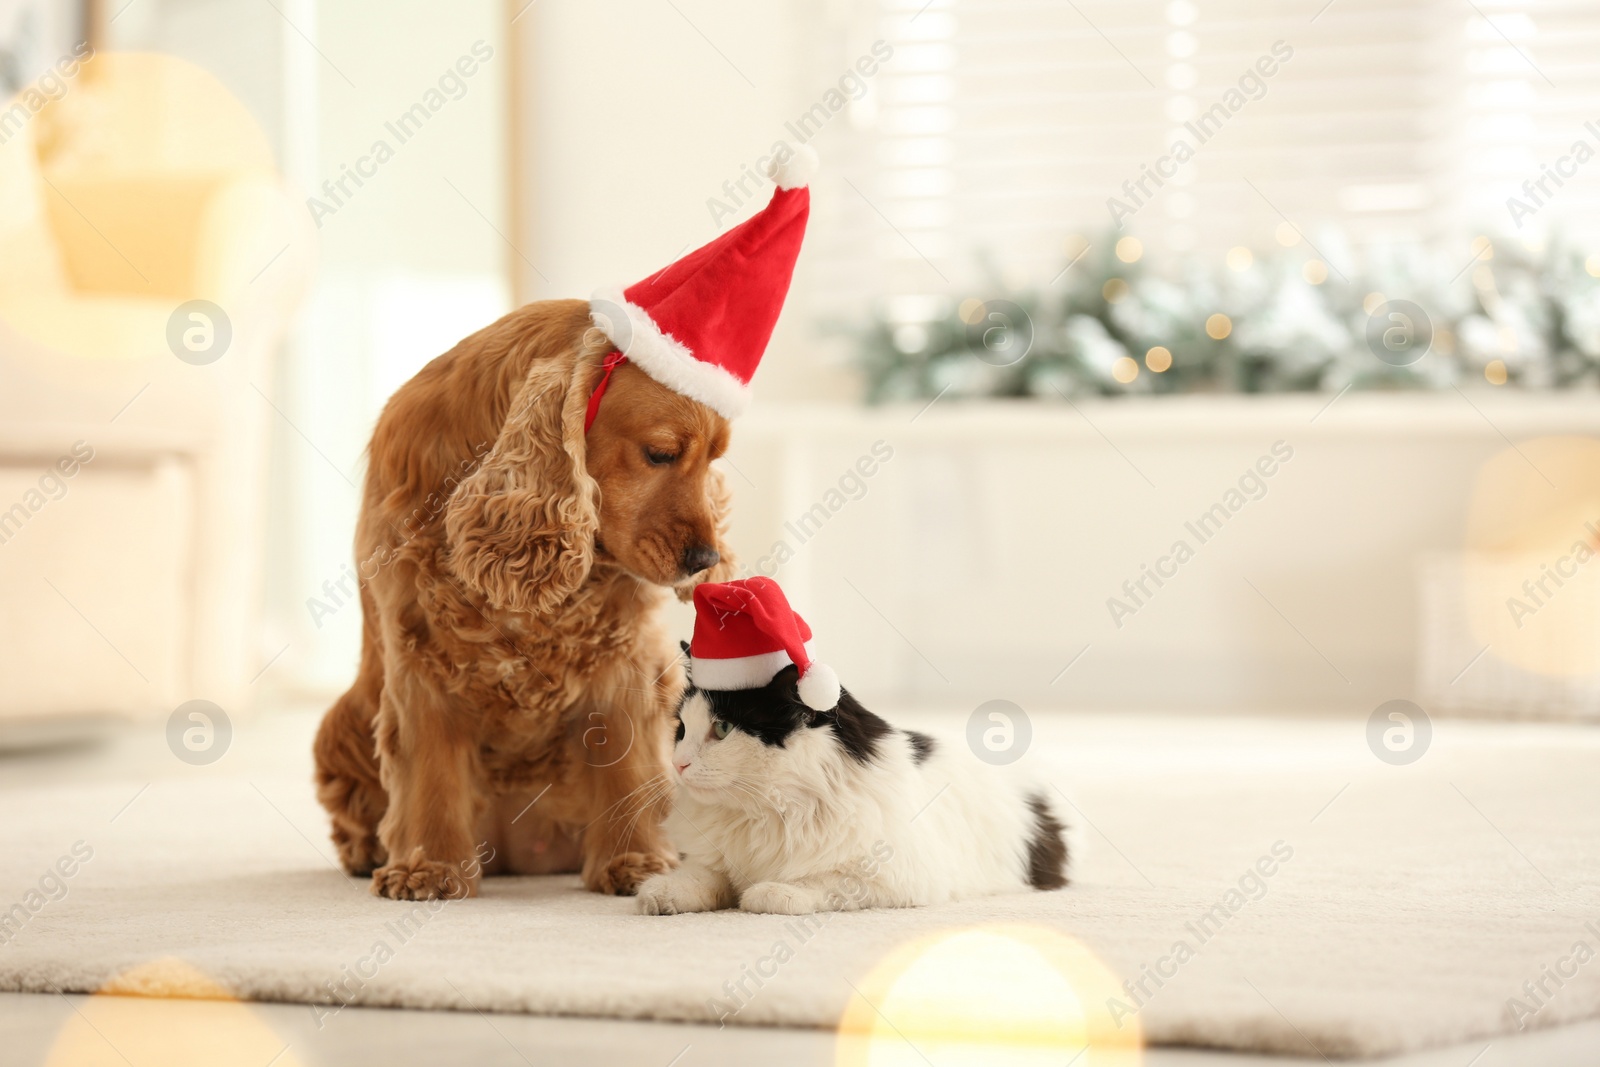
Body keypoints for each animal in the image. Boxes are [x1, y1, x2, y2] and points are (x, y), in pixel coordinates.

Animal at [313, 300, 736, 902]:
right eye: (661, 453)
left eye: (715, 459)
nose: (706, 558)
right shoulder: (419, 651)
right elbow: (431, 772)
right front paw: (428, 868)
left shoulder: (625, 655)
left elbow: (627, 764)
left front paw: (636, 861)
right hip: (339, 724)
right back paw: (365, 851)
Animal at [630, 659, 1068, 921]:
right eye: (681, 730)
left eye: (721, 729)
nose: (677, 763)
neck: (764, 813)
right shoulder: (714, 861)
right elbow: (700, 878)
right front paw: (660, 894)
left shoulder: (897, 875)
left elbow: (818, 883)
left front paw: (768, 892)